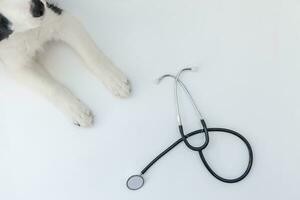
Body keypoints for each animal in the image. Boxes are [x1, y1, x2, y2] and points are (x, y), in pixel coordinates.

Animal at [0, 0, 131, 127]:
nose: (39, 8)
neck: (25, 32)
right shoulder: (17, 64)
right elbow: (50, 86)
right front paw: (76, 110)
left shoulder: (61, 20)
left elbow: (91, 54)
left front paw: (115, 79)